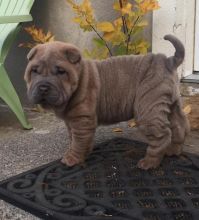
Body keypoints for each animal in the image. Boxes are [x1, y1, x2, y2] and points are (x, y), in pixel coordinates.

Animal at [24, 35, 190, 170]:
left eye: (60, 71)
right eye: (34, 71)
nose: (43, 87)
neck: (80, 77)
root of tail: (168, 61)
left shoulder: (81, 120)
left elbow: (77, 141)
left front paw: (72, 158)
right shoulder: (72, 122)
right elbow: (76, 139)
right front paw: (83, 151)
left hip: (148, 109)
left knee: (162, 135)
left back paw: (149, 162)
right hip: (171, 104)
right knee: (179, 126)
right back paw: (173, 150)